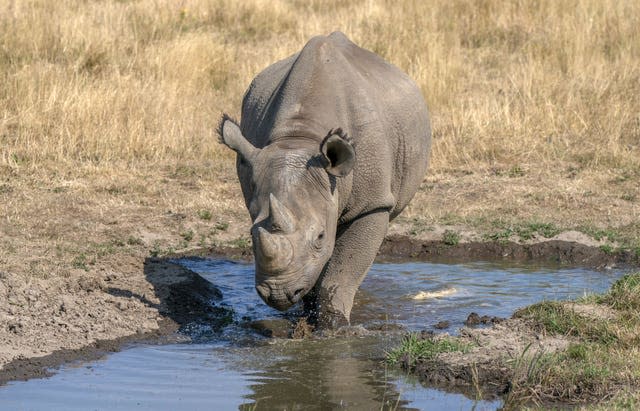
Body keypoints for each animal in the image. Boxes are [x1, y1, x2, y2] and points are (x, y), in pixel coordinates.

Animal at [218, 31, 432, 328]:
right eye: (250, 235)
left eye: (319, 236)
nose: (277, 294)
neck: (299, 137)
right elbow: (315, 265)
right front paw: (308, 315)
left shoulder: (372, 204)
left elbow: (344, 268)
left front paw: (333, 324)